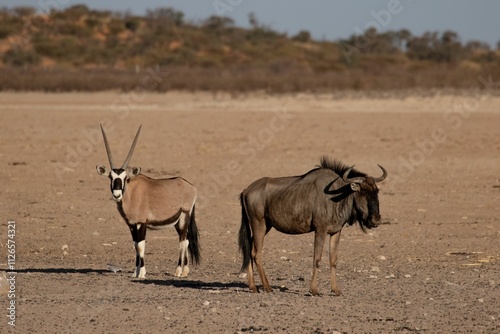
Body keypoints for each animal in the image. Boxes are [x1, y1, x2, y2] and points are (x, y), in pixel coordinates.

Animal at [96, 124, 200, 278]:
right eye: (111, 177)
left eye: (125, 178)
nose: (117, 195)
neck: (131, 194)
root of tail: (190, 186)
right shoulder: (131, 224)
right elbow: (135, 244)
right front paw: (135, 272)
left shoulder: (141, 223)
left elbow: (140, 245)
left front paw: (142, 273)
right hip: (177, 221)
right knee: (186, 240)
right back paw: (184, 270)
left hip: (184, 217)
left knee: (182, 241)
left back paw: (179, 271)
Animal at [238, 157, 386, 294]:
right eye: (363, 191)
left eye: (376, 191)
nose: (375, 220)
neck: (337, 197)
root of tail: (246, 190)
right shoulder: (320, 230)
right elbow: (317, 258)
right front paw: (313, 290)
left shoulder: (335, 232)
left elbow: (333, 260)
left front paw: (335, 290)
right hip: (259, 224)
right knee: (256, 254)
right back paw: (267, 287)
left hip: (265, 226)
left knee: (249, 249)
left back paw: (253, 287)